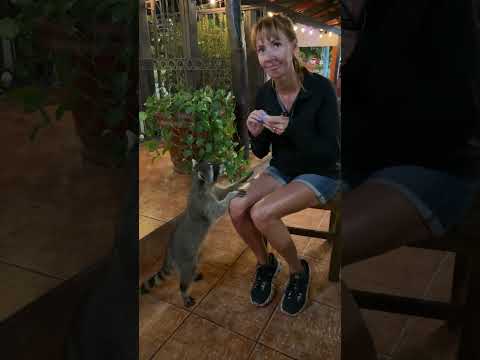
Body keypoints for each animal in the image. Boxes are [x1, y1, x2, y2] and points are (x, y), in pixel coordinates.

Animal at [141, 160, 253, 306]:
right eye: (213, 167)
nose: (223, 163)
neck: (199, 184)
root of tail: (170, 250)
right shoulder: (204, 203)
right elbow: (218, 210)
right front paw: (231, 195)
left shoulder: (212, 191)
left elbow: (223, 191)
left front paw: (242, 180)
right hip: (185, 257)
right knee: (186, 274)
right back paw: (184, 292)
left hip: (195, 252)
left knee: (194, 263)